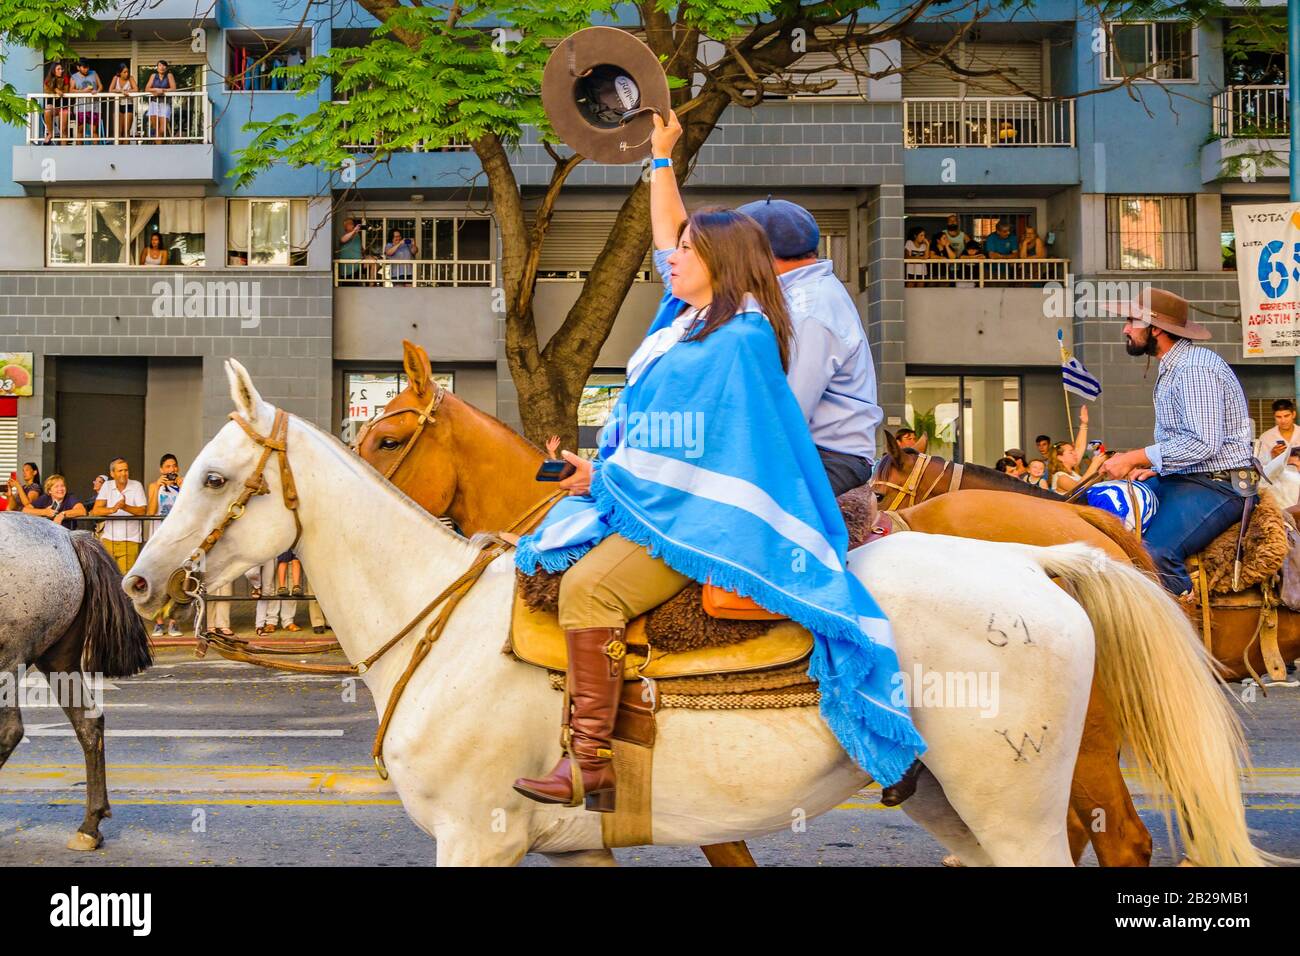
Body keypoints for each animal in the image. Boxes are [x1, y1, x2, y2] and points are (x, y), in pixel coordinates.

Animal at [0, 512, 152, 848]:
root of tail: (69, 538)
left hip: (6, 662)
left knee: (10, 731)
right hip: (58, 661)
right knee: (88, 723)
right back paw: (90, 827)